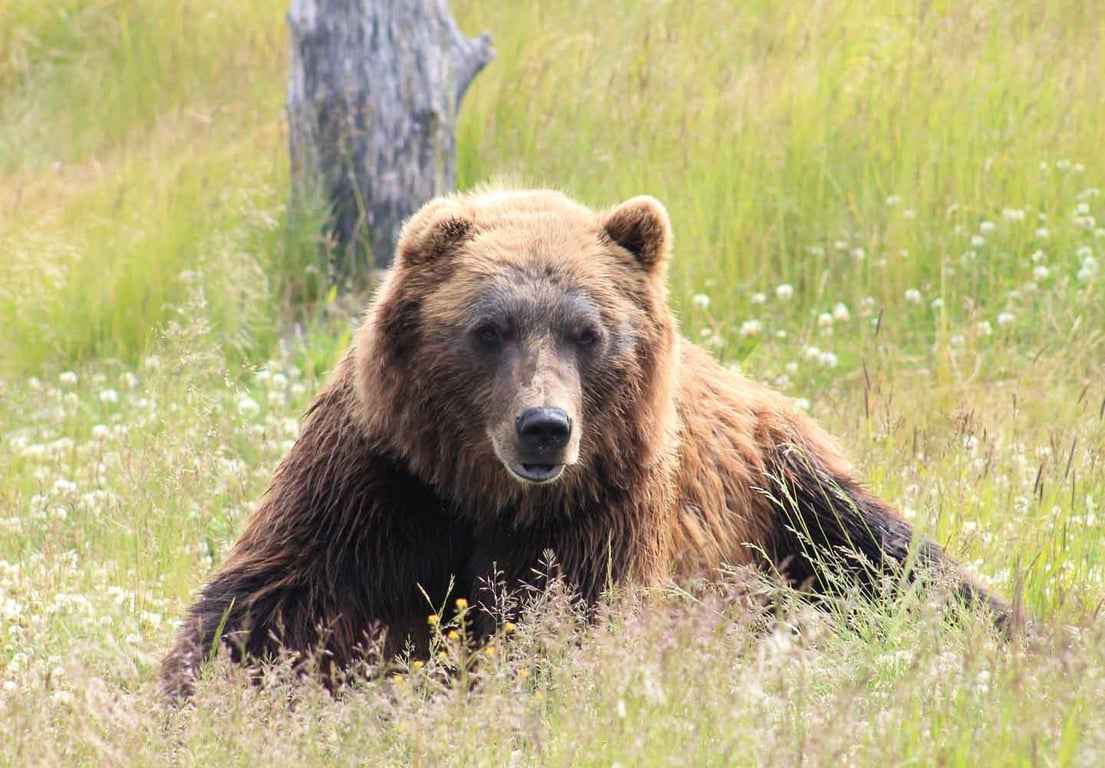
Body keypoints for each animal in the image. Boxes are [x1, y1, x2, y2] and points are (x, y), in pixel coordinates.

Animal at [160, 187, 1012, 702]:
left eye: (587, 332)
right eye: (488, 328)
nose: (544, 426)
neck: (485, 495)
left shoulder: (600, 508)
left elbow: (564, 629)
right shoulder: (382, 481)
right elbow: (271, 604)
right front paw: (197, 697)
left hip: (786, 488)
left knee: (896, 562)